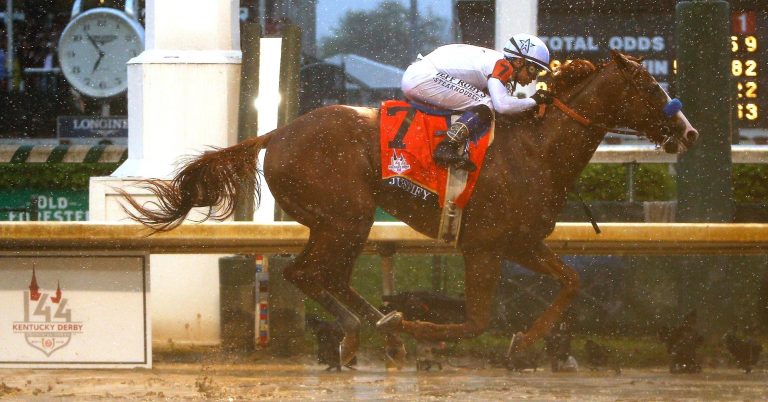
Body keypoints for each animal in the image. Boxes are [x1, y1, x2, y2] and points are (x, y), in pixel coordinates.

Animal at [118, 51, 696, 368]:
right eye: (649, 86)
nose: (687, 132)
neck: (536, 148)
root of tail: (277, 134)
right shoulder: (485, 247)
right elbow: (475, 320)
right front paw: (425, 330)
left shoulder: (521, 243)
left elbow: (571, 281)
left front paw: (524, 339)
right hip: (347, 217)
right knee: (307, 273)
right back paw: (364, 330)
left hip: (337, 222)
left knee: (321, 274)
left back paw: (383, 326)